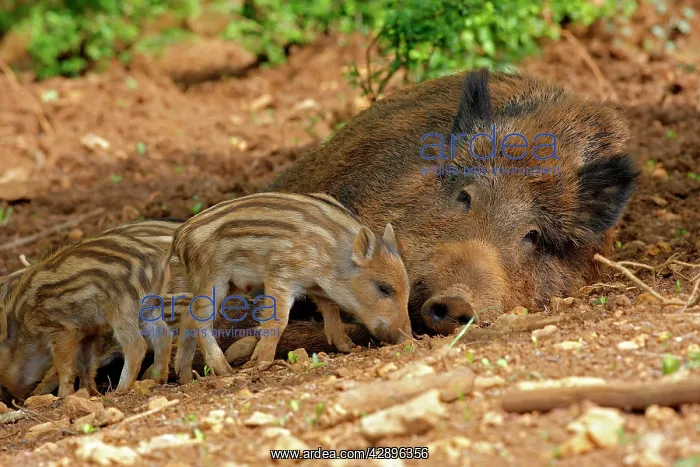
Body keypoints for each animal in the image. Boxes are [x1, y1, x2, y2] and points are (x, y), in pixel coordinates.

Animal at [169, 192, 412, 382]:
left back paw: (186, 377)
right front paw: (262, 364)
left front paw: (347, 347)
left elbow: (331, 309)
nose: (409, 339)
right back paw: (224, 370)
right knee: (200, 322)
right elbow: (278, 321)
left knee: (188, 317)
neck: (332, 255)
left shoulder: (315, 285)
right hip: (213, 280)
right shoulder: (281, 277)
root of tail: (180, 235)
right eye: (383, 288)